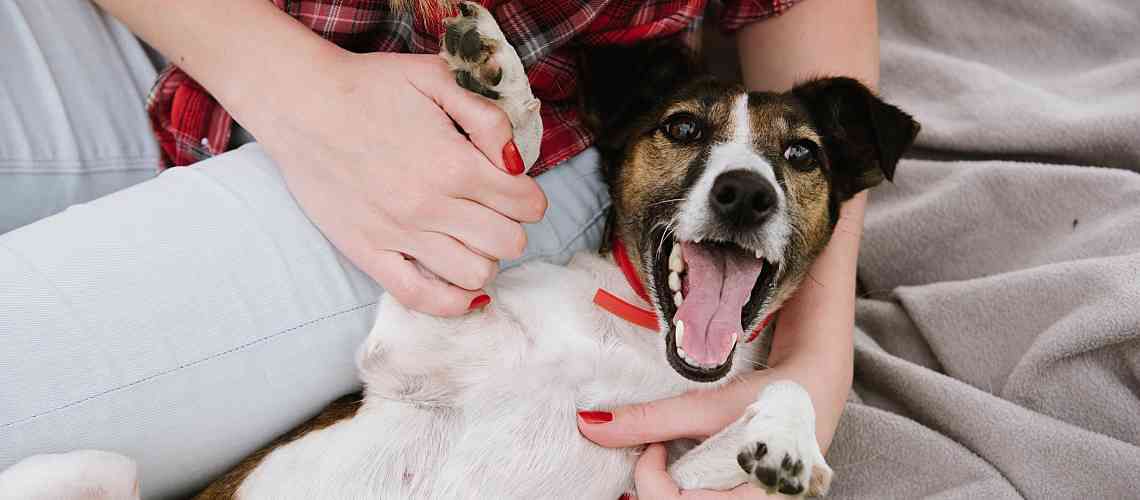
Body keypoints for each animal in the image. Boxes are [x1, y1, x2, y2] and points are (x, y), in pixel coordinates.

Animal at [0, 1, 916, 498]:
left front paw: (791, 444)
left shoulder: (648, 476)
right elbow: (507, 146)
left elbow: (781, 400)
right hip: (92, 468)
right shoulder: (415, 341)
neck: (623, 334)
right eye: (684, 129)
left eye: (801, 155)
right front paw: (498, 78)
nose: (745, 194)